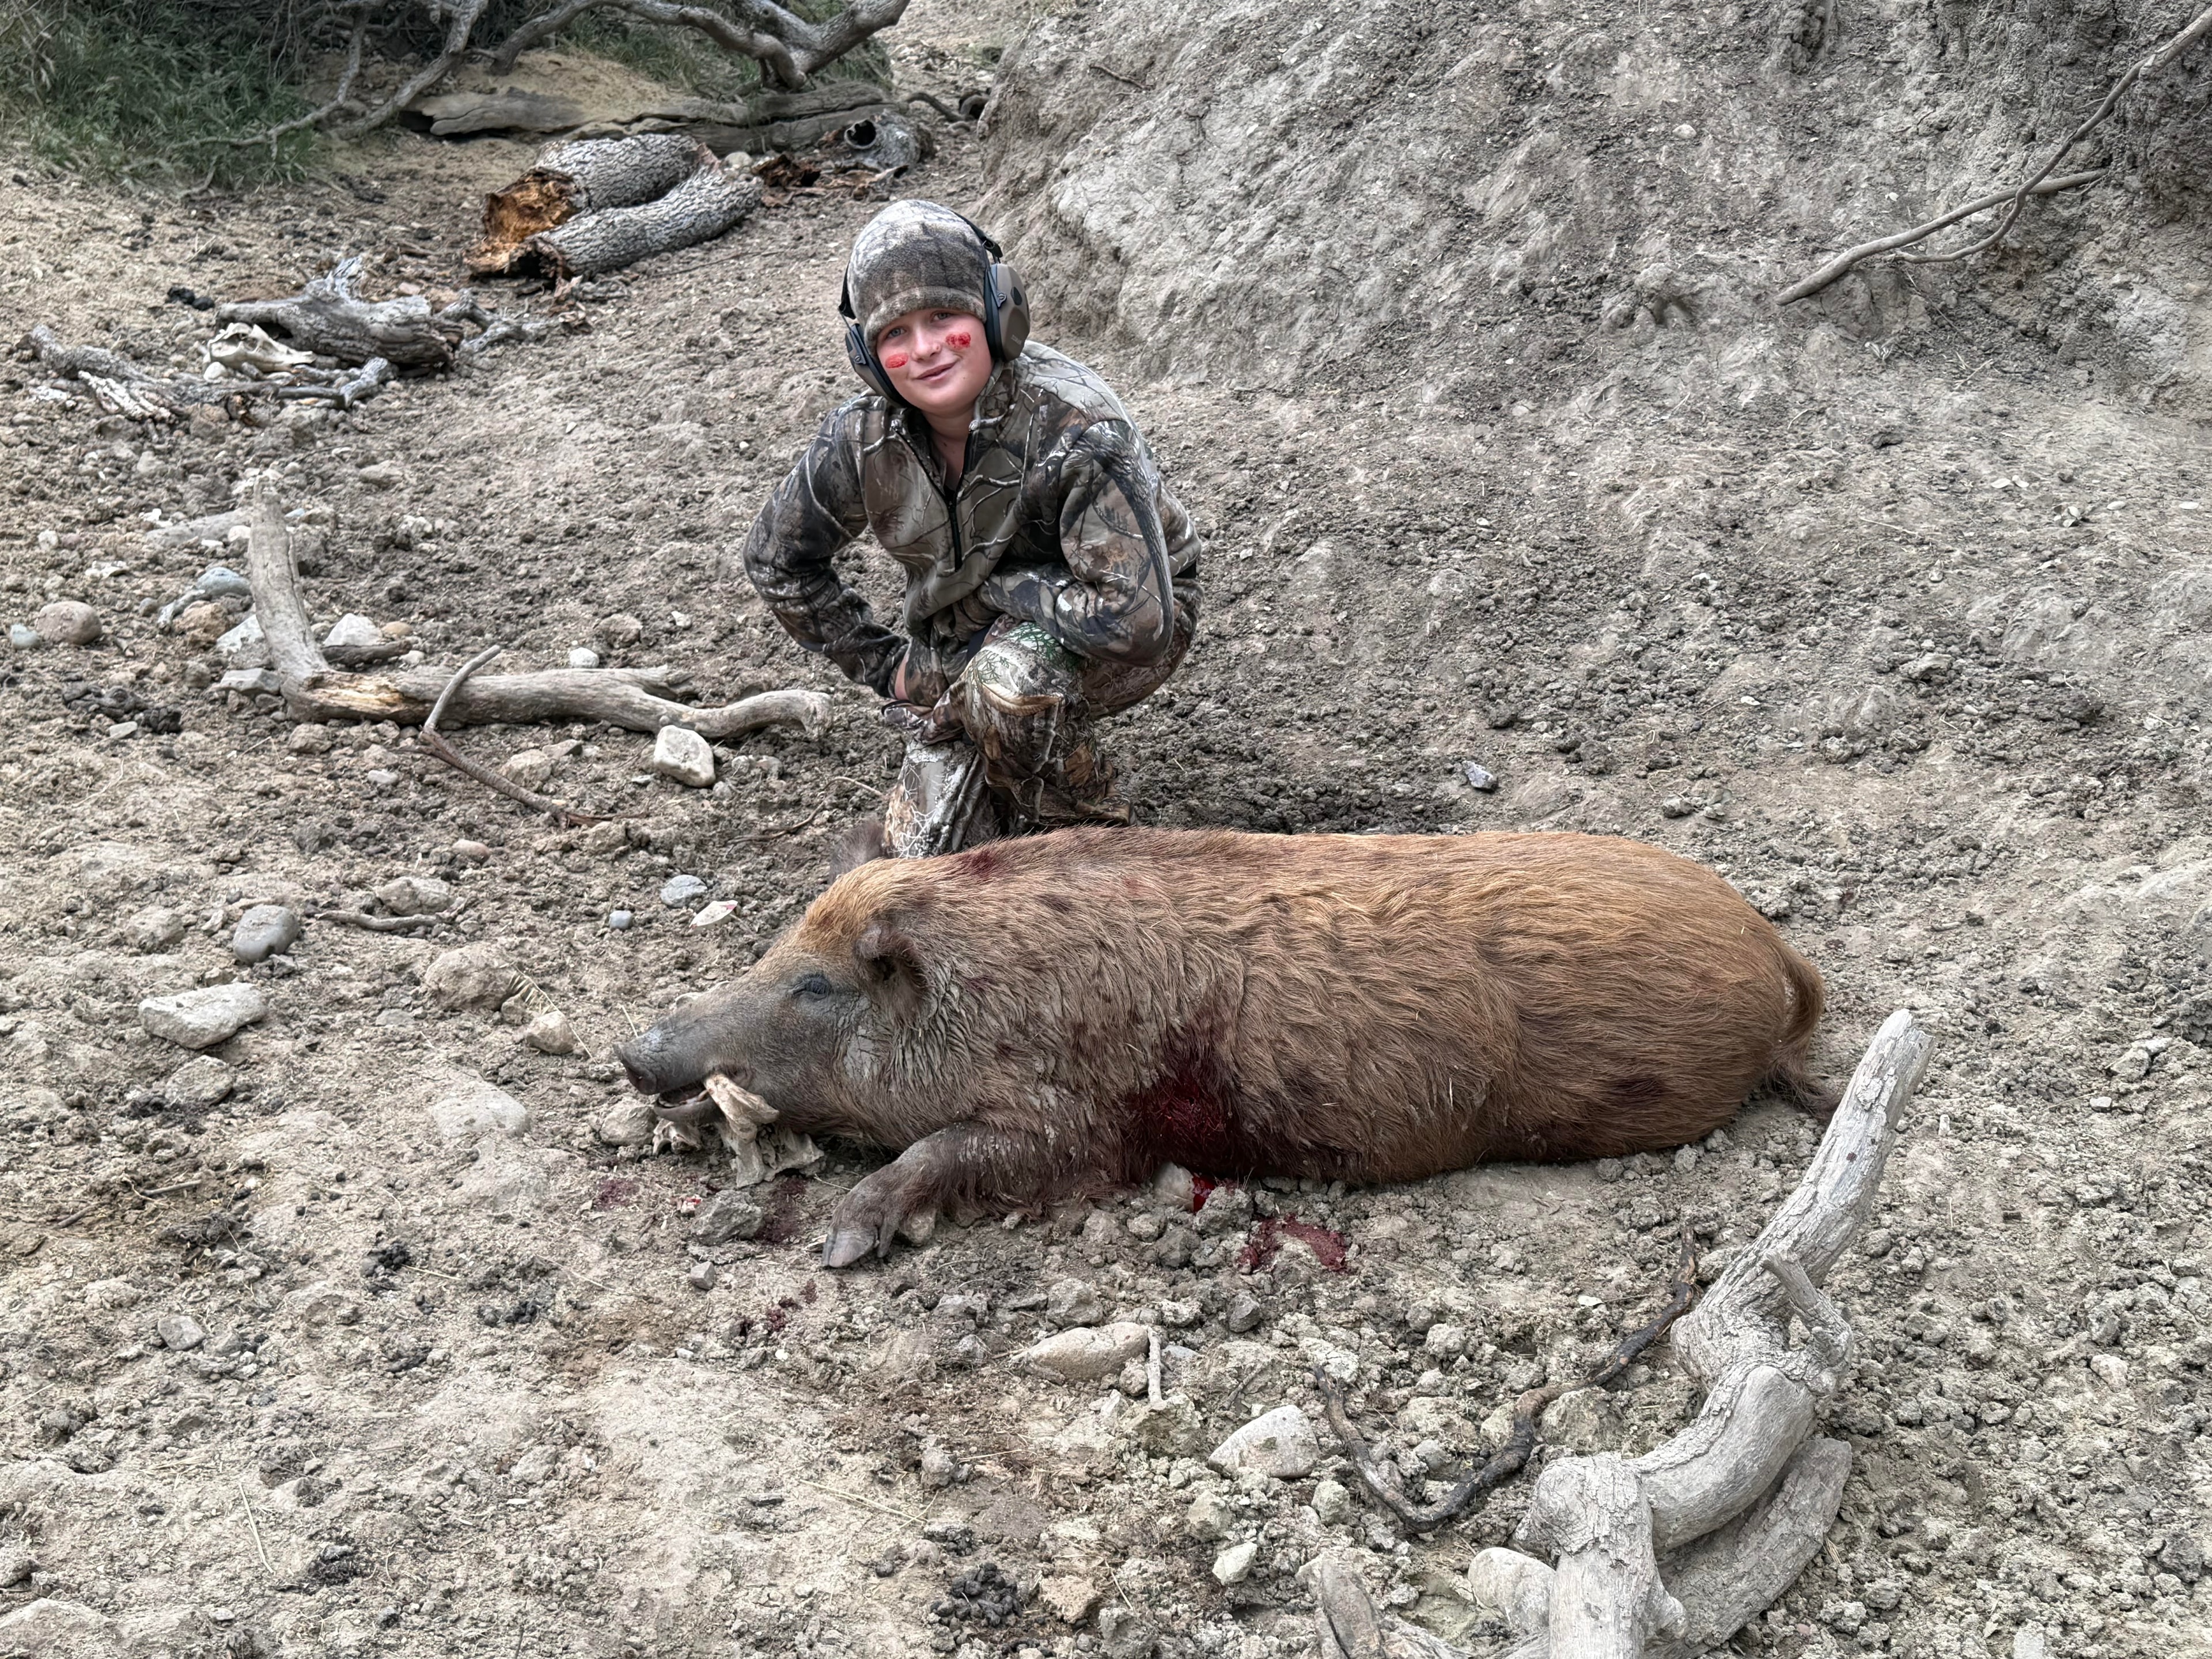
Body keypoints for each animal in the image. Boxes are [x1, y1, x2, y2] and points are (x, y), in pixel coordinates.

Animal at [616, 828, 1825, 1267]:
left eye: (815, 985)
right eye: (777, 944)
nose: (635, 1050)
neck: (982, 994)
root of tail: (1771, 950)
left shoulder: (1083, 1125)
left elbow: (946, 1154)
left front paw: (842, 1247)